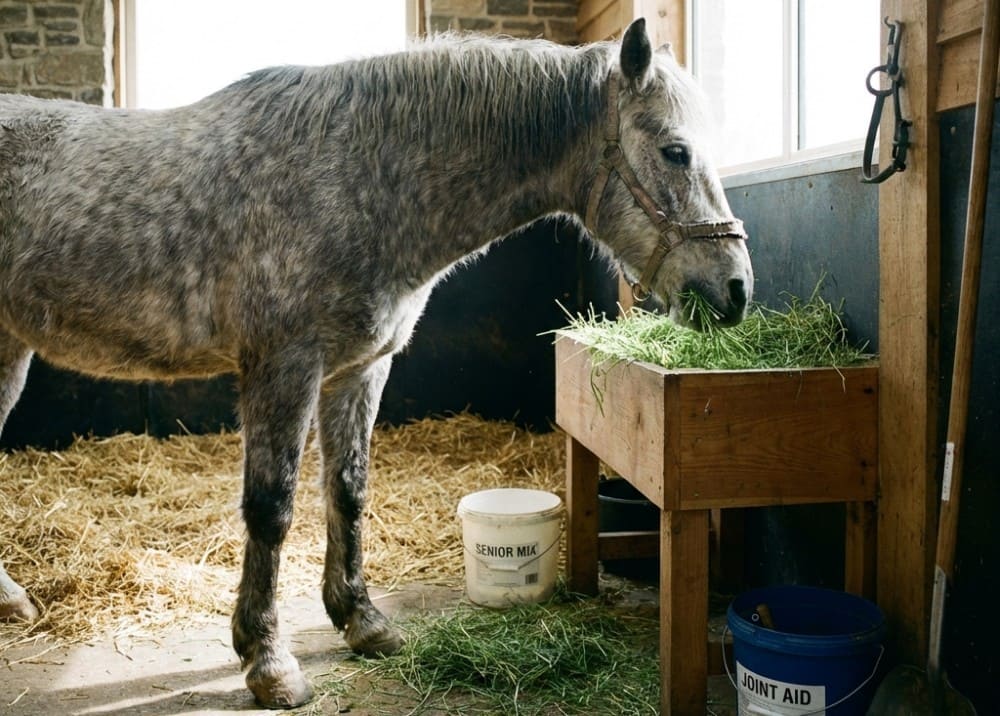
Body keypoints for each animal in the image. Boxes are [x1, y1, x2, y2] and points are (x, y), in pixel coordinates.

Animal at [0, 19, 752, 708]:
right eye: (675, 151)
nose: (736, 288)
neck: (357, 175)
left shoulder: (358, 370)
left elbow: (348, 490)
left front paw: (360, 621)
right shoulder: (284, 366)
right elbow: (272, 507)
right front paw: (267, 662)